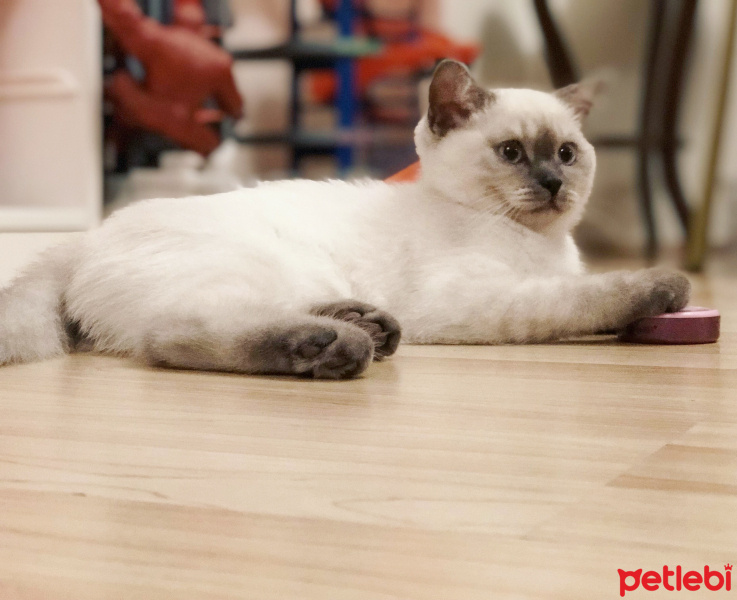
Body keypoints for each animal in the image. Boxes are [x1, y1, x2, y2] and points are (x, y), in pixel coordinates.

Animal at [1, 61, 688, 380]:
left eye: (567, 154)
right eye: (512, 153)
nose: (551, 185)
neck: (542, 246)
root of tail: (87, 236)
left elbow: (574, 289)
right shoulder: (473, 299)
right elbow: (580, 298)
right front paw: (666, 286)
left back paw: (362, 323)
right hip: (259, 265)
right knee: (173, 334)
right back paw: (336, 345)